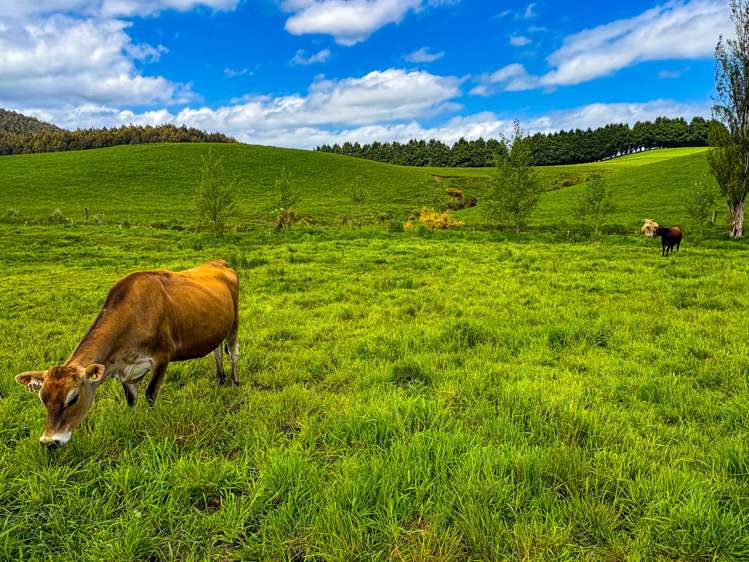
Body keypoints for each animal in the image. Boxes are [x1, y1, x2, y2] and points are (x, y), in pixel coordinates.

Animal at [14, 258, 240, 446]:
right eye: (43, 398)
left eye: (73, 398)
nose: (49, 442)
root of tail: (219, 262)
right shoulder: (124, 369)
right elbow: (131, 400)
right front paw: (134, 423)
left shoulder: (162, 356)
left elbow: (150, 394)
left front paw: (151, 421)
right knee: (217, 349)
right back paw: (220, 378)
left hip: (234, 321)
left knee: (232, 352)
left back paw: (234, 381)